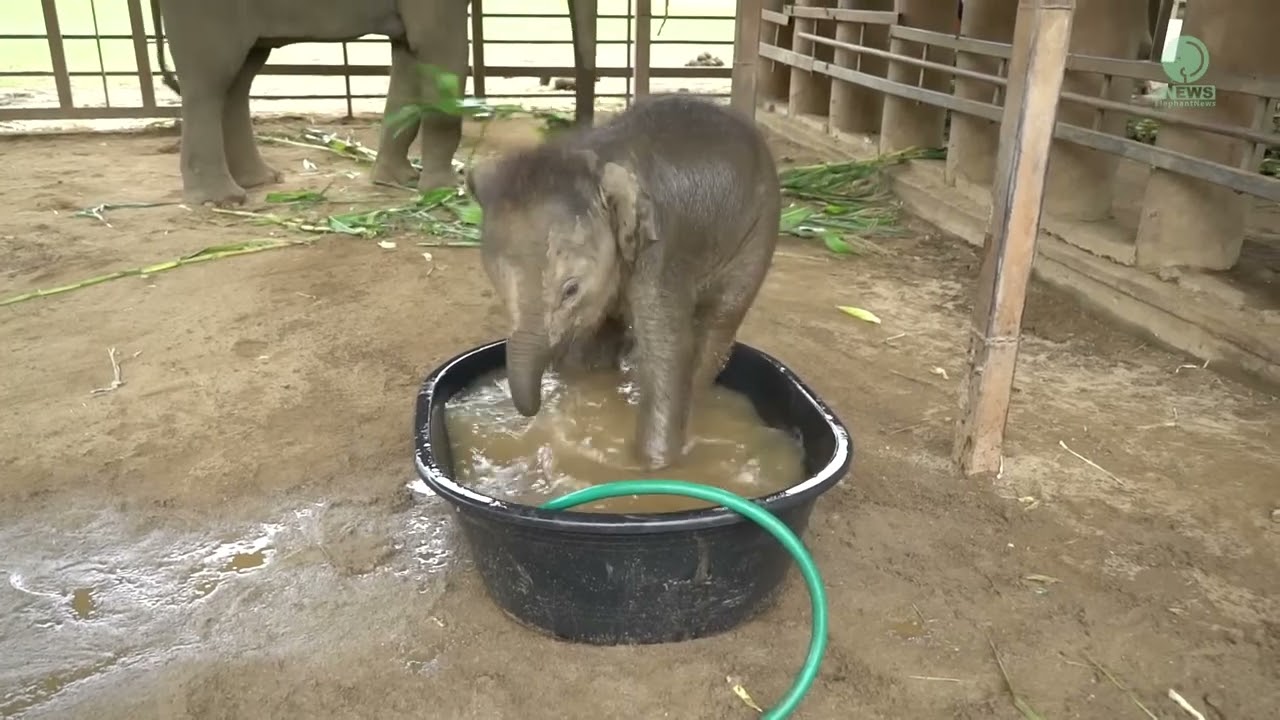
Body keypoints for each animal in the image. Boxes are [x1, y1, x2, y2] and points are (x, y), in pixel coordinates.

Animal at [150, 0, 473, 207]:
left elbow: (409, 54)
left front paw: (397, 180)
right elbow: (439, 46)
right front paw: (448, 190)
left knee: (239, 78)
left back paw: (259, 181)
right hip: (205, 10)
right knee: (210, 81)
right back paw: (223, 199)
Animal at [466, 94, 782, 470]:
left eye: (570, 290)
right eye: (499, 288)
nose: (533, 412)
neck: (594, 157)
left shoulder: (661, 250)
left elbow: (669, 352)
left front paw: (654, 468)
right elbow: (591, 347)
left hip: (758, 234)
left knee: (716, 329)